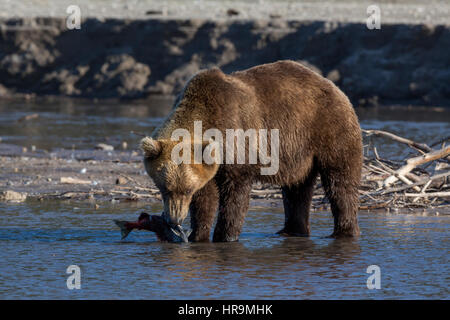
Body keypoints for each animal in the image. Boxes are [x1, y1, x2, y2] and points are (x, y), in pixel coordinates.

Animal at [141, 60, 362, 242]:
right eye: (164, 188)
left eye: (186, 190)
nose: (174, 220)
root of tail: (333, 86)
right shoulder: (209, 165)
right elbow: (206, 196)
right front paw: (198, 235)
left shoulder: (236, 138)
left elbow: (235, 193)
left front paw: (225, 236)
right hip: (298, 154)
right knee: (296, 189)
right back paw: (291, 231)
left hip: (328, 129)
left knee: (340, 182)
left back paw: (343, 231)